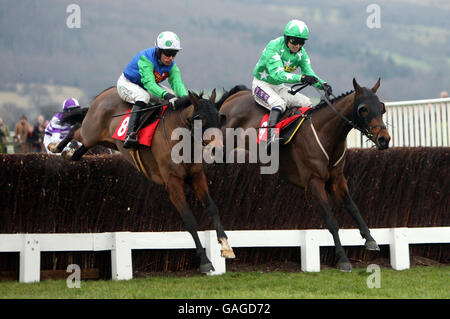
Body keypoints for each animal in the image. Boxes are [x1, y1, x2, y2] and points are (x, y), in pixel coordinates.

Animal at [49, 87, 236, 276]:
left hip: (104, 141)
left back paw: (68, 153)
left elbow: (212, 207)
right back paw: (55, 147)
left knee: (80, 150)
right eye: (200, 118)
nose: (217, 149)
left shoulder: (196, 176)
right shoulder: (172, 182)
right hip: (91, 133)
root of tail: (105, 93)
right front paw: (205, 261)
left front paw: (226, 246)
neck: (180, 139)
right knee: (76, 129)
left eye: (219, 116)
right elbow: (189, 220)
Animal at [218, 79, 390, 272]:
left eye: (381, 107)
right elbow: (331, 220)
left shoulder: (337, 179)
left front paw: (370, 239)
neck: (326, 135)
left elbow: (353, 207)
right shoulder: (314, 182)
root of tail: (233, 96)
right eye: (363, 109)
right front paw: (343, 259)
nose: (384, 139)